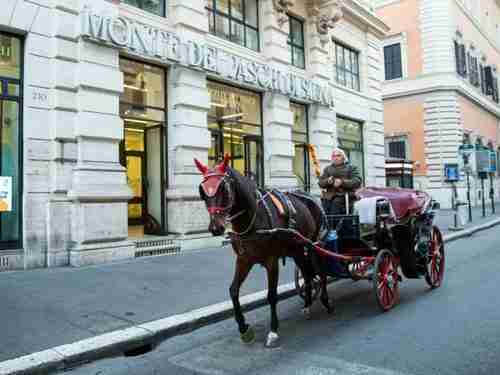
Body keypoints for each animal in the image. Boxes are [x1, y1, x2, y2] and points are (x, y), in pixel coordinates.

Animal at [195, 154, 332, 348]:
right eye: (202, 191)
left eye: (224, 188)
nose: (216, 227)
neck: (253, 217)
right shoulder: (244, 260)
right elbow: (233, 291)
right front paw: (244, 328)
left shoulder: (271, 261)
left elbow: (272, 295)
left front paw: (273, 330)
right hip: (297, 249)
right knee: (307, 274)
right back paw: (306, 305)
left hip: (313, 244)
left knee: (320, 271)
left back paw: (325, 301)